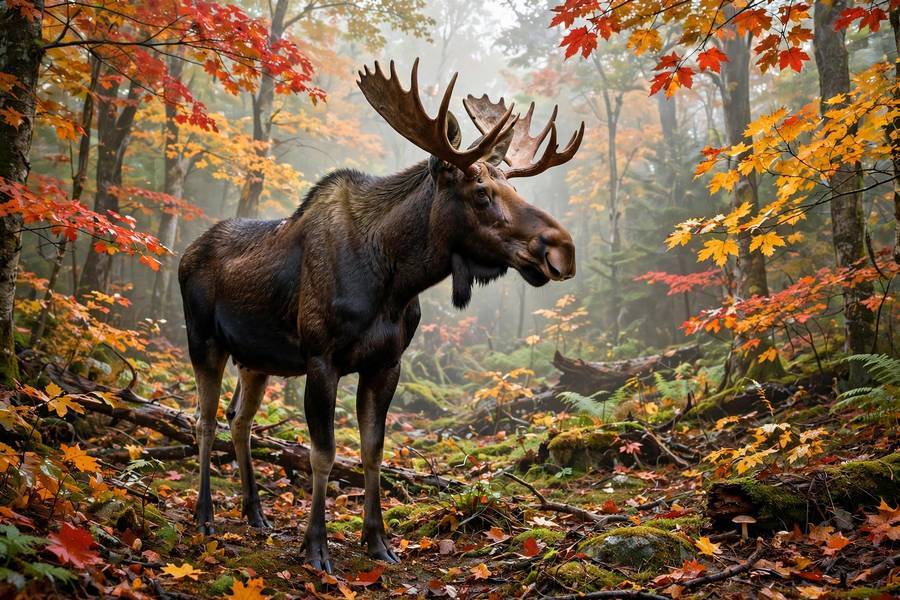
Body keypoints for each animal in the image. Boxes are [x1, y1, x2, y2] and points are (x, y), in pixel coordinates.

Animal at [178, 59, 583, 573]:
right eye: (480, 191)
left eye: (512, 185)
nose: (562, 249)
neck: (394, 280)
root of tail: (184, 254)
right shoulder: (321, 359)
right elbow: (324, 455)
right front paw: (316, 547)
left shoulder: (386, 363)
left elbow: (373, 452)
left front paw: (377, 541)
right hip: (203, 339)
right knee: (203, 420)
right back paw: (205, 515)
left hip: (256, 360)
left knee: (238, 419)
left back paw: (255, 513)